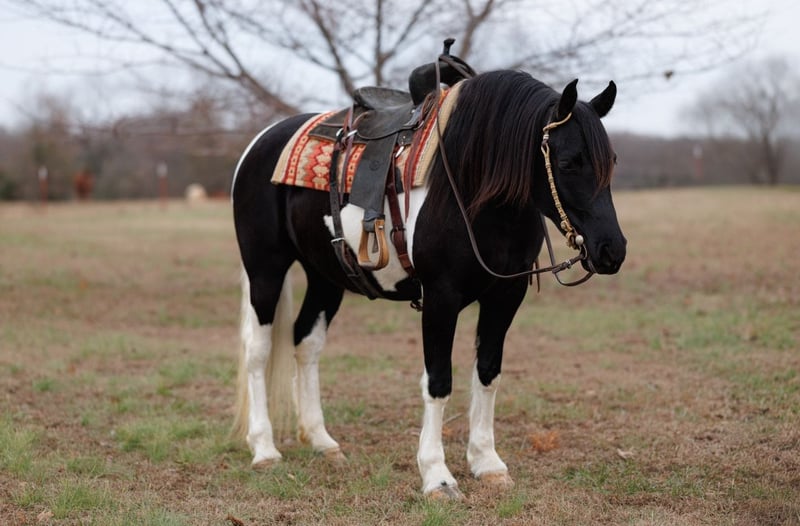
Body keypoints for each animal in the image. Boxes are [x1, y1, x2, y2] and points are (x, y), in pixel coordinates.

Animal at [230, 68, 626, 499]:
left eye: (612, 161)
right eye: (569, 162)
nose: (612, 250)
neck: (470, 189)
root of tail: (261, 141)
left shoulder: (506, 296)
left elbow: (487, 372)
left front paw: (488, 463)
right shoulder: (440, 298)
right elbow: (438, 381)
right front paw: (437, 475)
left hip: (325, 276)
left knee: (306, 342)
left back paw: (322, 442)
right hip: (265, 268)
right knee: (257, 350)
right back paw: (264, 449)